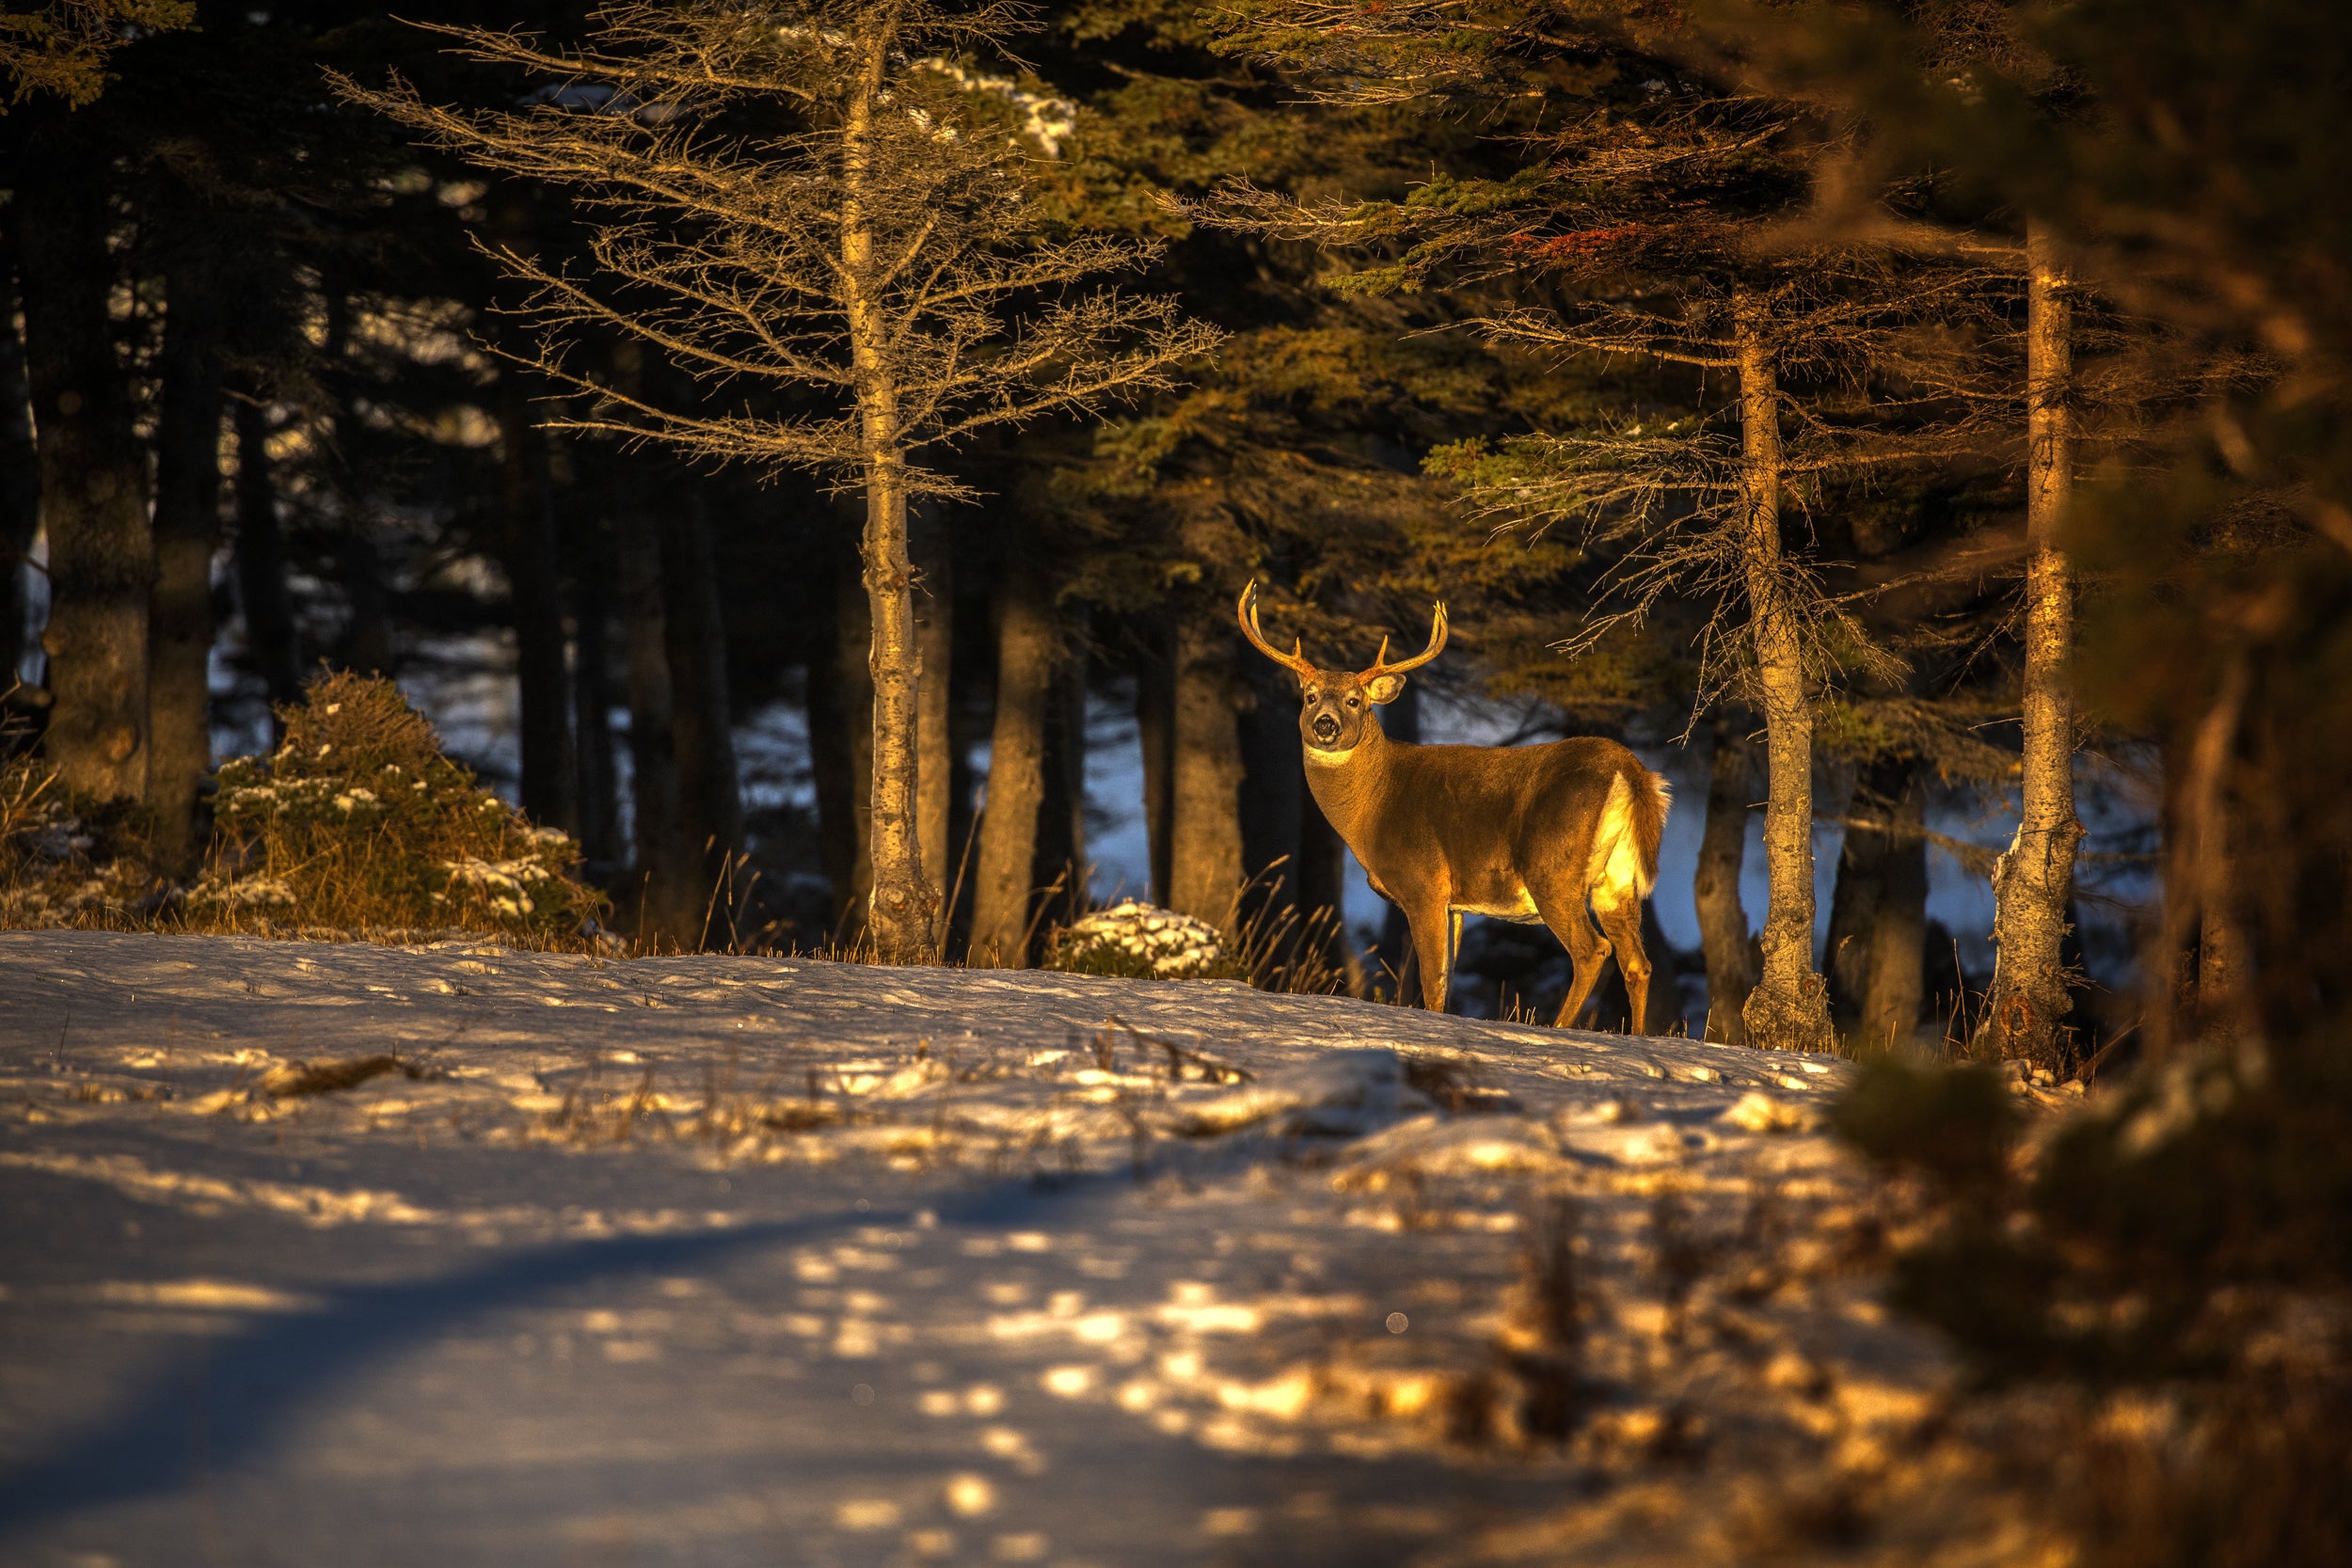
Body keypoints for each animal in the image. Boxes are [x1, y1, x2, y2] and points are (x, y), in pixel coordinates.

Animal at [1238, 580, 1672, 1033]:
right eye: (1310, 696)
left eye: (1355, 701)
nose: (1326, 723)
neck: (1374, 803)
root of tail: (1628, 769)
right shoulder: (1455, 904)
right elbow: (1445, 981)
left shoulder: (1424, 883)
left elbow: (1432, 984)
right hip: (1617, 879)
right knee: (1638, 963)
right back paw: (1636, 1036)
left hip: (1552, 867)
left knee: (1592, 951)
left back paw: (1558, 1028)